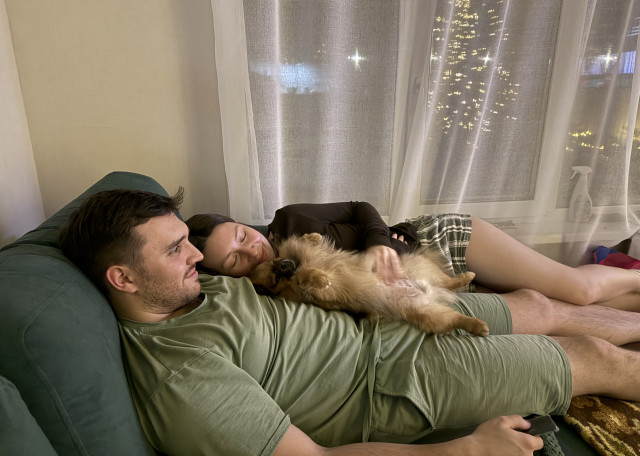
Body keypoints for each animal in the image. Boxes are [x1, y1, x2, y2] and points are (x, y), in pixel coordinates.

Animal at [249, 233, 489, 336]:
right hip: (429, 314)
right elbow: (307, 277)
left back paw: (465, 278)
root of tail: (428, 292)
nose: (285, 264)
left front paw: (313, 236)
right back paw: (477, 325)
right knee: (455, 317)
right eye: (276, 279)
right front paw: (320, 277)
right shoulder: (318, 292)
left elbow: (309, 241)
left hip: (421, 270)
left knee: (449, 282)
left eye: (277, 262)